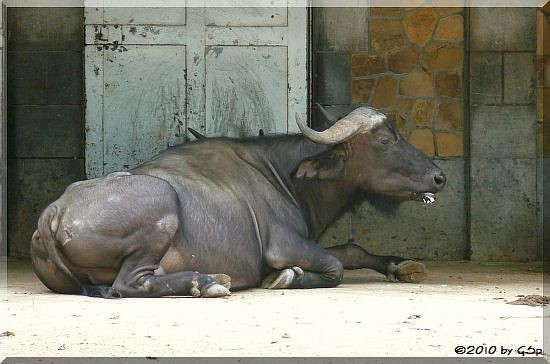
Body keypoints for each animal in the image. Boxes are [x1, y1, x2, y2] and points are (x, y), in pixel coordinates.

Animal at [30, 105, 446, 298]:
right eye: (385, 140)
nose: (439, 177)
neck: (284, 176)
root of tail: (53, 212)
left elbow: (353, 250)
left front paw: (400, 265)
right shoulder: (284, 245)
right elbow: (334, 267)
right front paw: (287, 278)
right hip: (162, 207)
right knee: (130, 284)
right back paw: (205, 282)